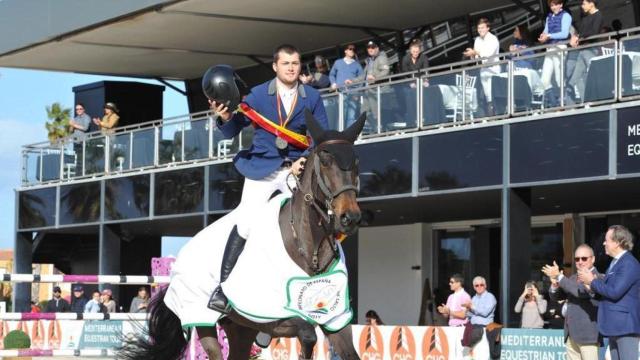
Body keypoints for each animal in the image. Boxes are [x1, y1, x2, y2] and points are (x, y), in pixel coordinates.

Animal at [117, 110, 362, 360]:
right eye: (325, 162)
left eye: (356, 162)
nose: (349, 218)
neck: (309, 250)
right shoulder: (270, 316)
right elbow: (308, 333)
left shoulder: (336, 319)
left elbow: (347, 351)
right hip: (205, 320)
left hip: (240, 328)